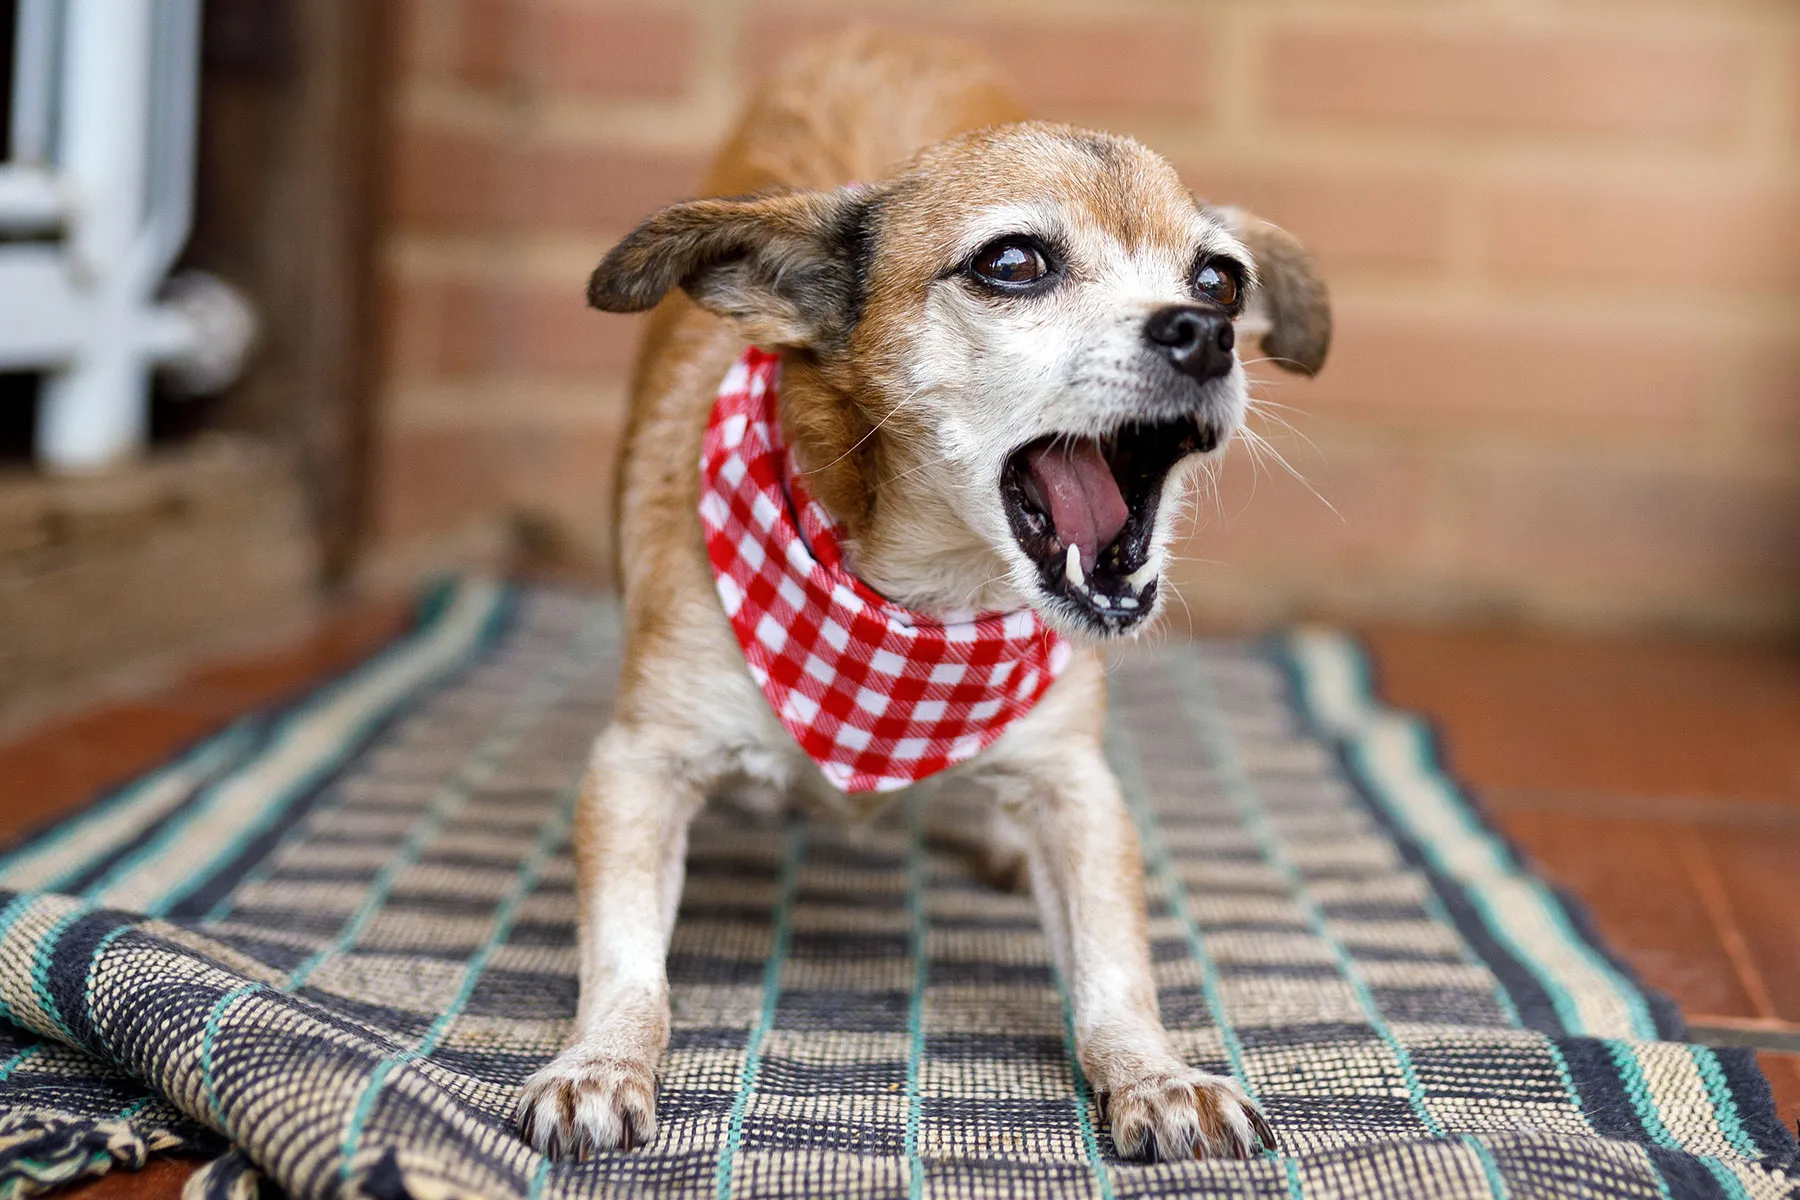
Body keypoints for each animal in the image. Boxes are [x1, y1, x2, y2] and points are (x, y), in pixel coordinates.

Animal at [514, 30, 1332, 1165]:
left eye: (1220, 279)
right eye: (1014, 263)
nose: (1205, 333)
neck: (924, 604)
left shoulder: (1074, 786)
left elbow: (1116, 967)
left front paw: (1155, 1074)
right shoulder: (641, 763)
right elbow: (628, 960)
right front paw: (600, 1060)